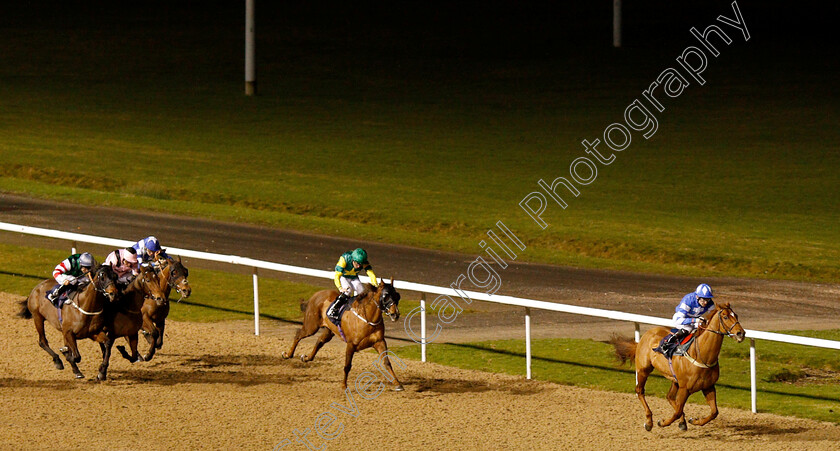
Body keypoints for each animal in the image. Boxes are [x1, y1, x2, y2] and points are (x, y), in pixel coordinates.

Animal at [612, 304, 744, 434]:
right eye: (725, 317)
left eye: (736, 315)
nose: (741, 334)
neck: (701, 355)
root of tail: (645, 336)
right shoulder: (685, 388)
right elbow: (678, 411)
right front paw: (662, 422)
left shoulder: (708, 386)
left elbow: (714, 412)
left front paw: (694, 420)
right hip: (643, 369)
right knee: (640, 391)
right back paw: (649, 422)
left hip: (674, 379)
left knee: (669, 397)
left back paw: (682, 422)